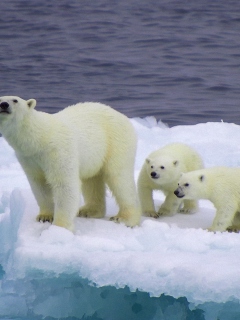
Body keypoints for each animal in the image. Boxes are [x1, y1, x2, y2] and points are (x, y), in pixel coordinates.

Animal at [0, 96, 141, 231]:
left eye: (15, 100)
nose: (3, 105)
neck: (39, 138)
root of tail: (123, 117)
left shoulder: (58, 150)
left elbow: (64, 184)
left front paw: (59, 227)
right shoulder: (28, 158)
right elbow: (39, 184)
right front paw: (45, 216)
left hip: (116, 142)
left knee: (119, 178)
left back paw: (124, 218)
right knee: (92, 180)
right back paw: (88, 211)